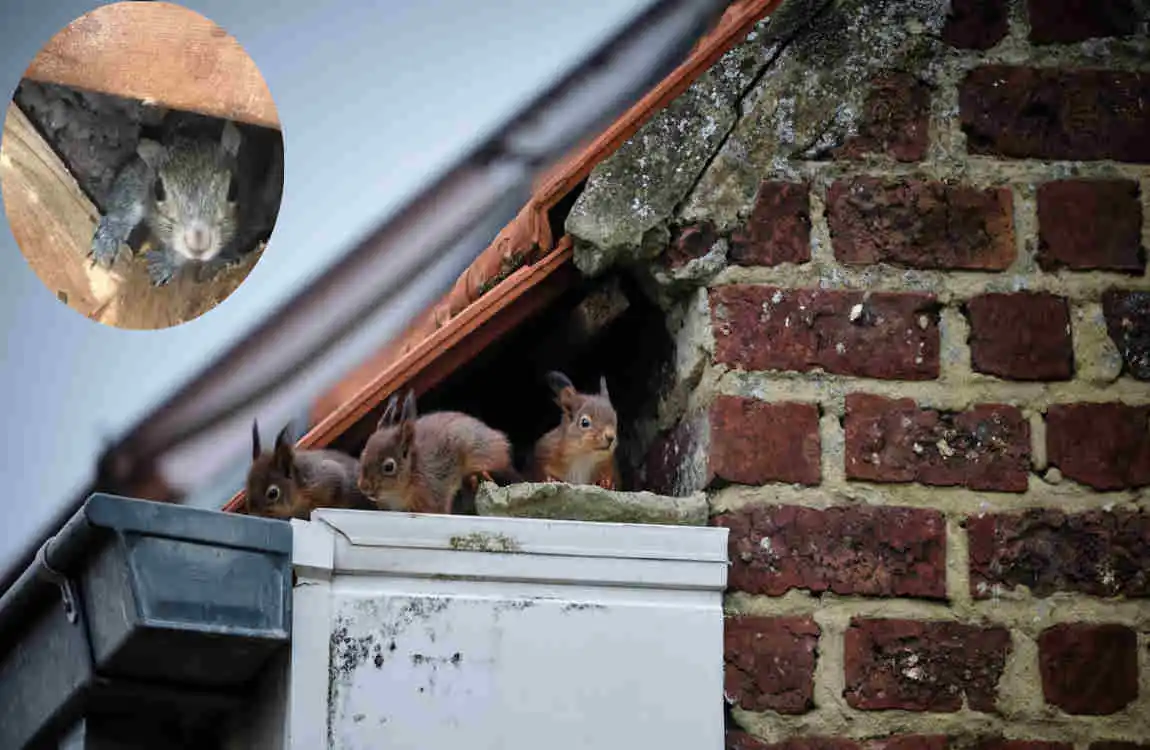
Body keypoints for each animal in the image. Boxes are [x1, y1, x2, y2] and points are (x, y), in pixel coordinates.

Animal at [89, 110, 282, 287]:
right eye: (158, 190)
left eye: (234, 190)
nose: (198, 245)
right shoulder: (140, 175)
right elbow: (125, 200)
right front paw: (108, 238)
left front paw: (166, 264)